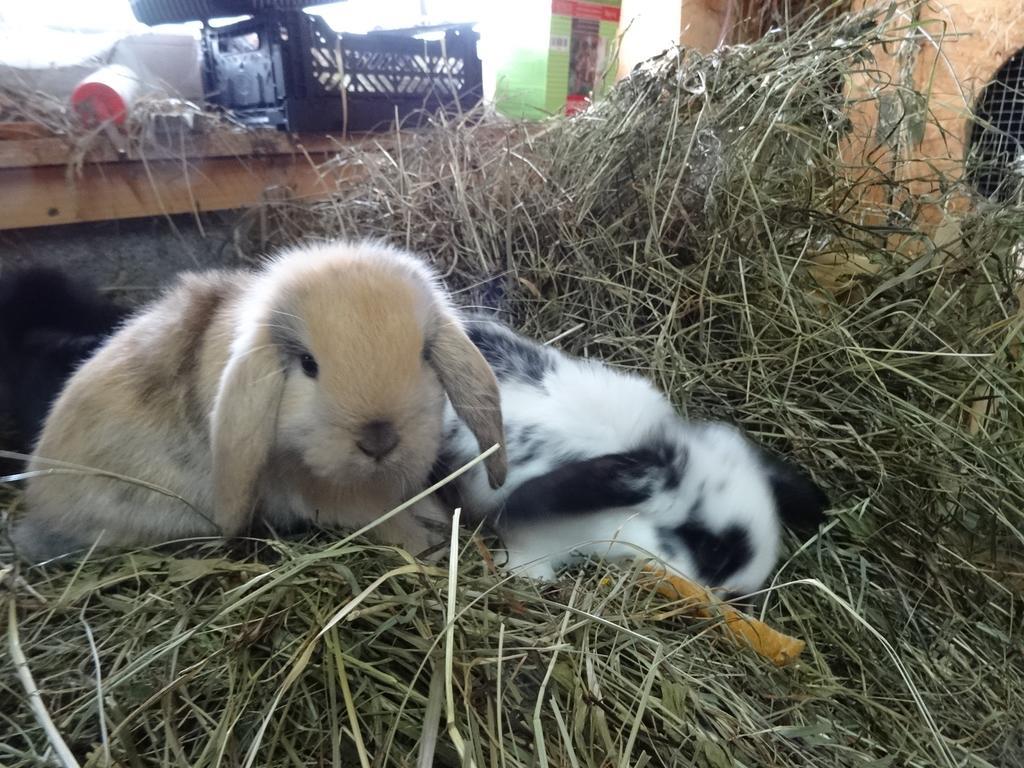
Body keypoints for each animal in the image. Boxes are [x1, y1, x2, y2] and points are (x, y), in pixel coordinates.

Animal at [8, 243, 503, 561]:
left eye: (423, 354)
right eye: (308, 364)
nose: (379, 440)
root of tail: (38, 494)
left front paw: (441, 521)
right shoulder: (326, 495)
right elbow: (380, 519)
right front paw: (425, 547)